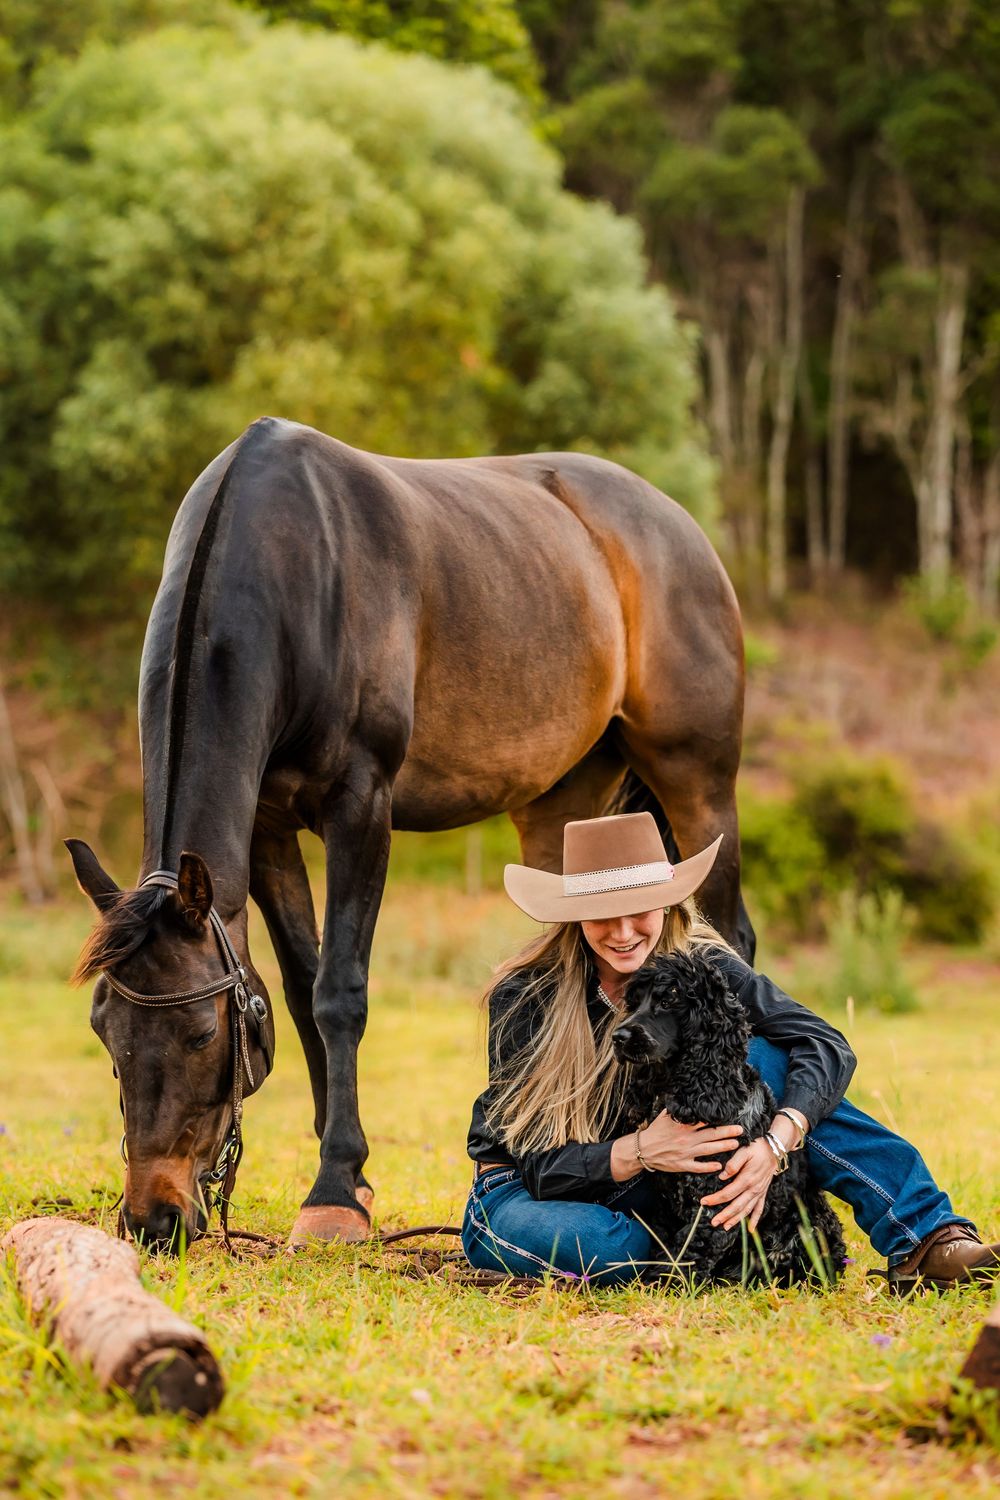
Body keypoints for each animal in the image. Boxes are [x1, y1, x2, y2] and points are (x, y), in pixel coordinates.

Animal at [68, 415, 754, 1250]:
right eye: (105, 1031)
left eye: (202, 1034)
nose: (154, 1218)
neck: (295, 574)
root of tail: (679, 526)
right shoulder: (266, 828)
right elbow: (302, 988)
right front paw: (349, 1175)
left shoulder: (361, 806)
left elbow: (339, 993)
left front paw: (334, 1191)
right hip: (567, 805)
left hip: (698, 785)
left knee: (731, 938)